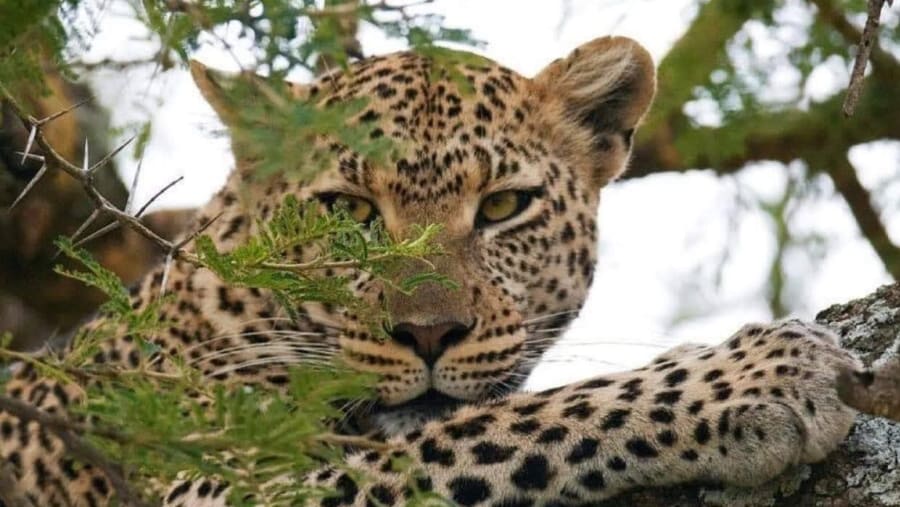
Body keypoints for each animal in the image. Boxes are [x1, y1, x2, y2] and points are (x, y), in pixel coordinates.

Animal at [0, 35, 869, 507]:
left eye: (503, 205)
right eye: (348, 210)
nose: (428, 333)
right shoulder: (218, 481)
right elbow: (521, 418)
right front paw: (755, 375)